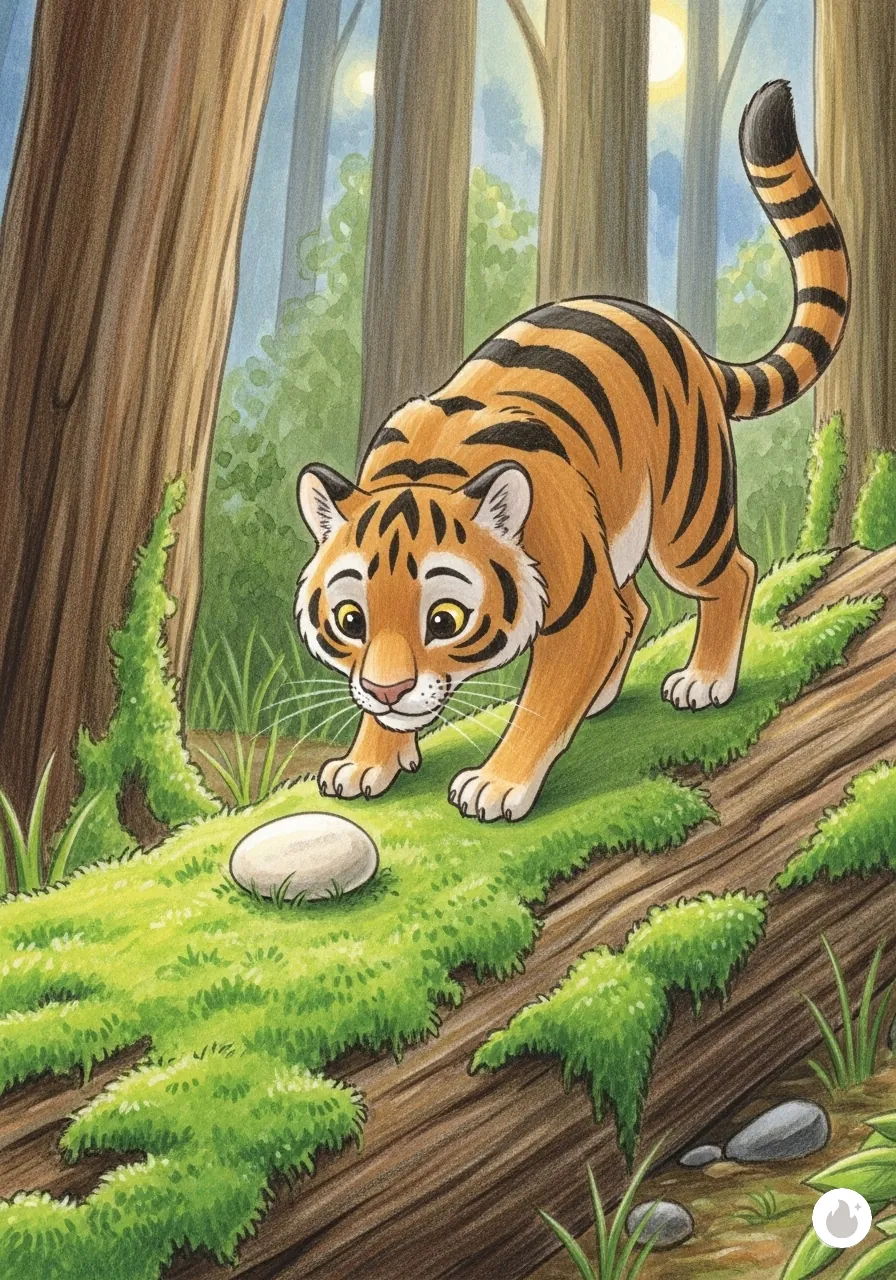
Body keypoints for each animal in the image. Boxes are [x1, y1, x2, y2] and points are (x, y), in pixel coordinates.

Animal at [294, 80, 849, 823]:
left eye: (444, 619)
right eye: (351, 619)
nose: (387, 689)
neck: (427, 476)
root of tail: (678, 334)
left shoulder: (580, 609)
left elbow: (540, 702)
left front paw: (496, 785)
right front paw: (367, 762)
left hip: (685, 523)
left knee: (730, 574)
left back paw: (704, 682)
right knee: (637, 606)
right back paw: (607, 694)